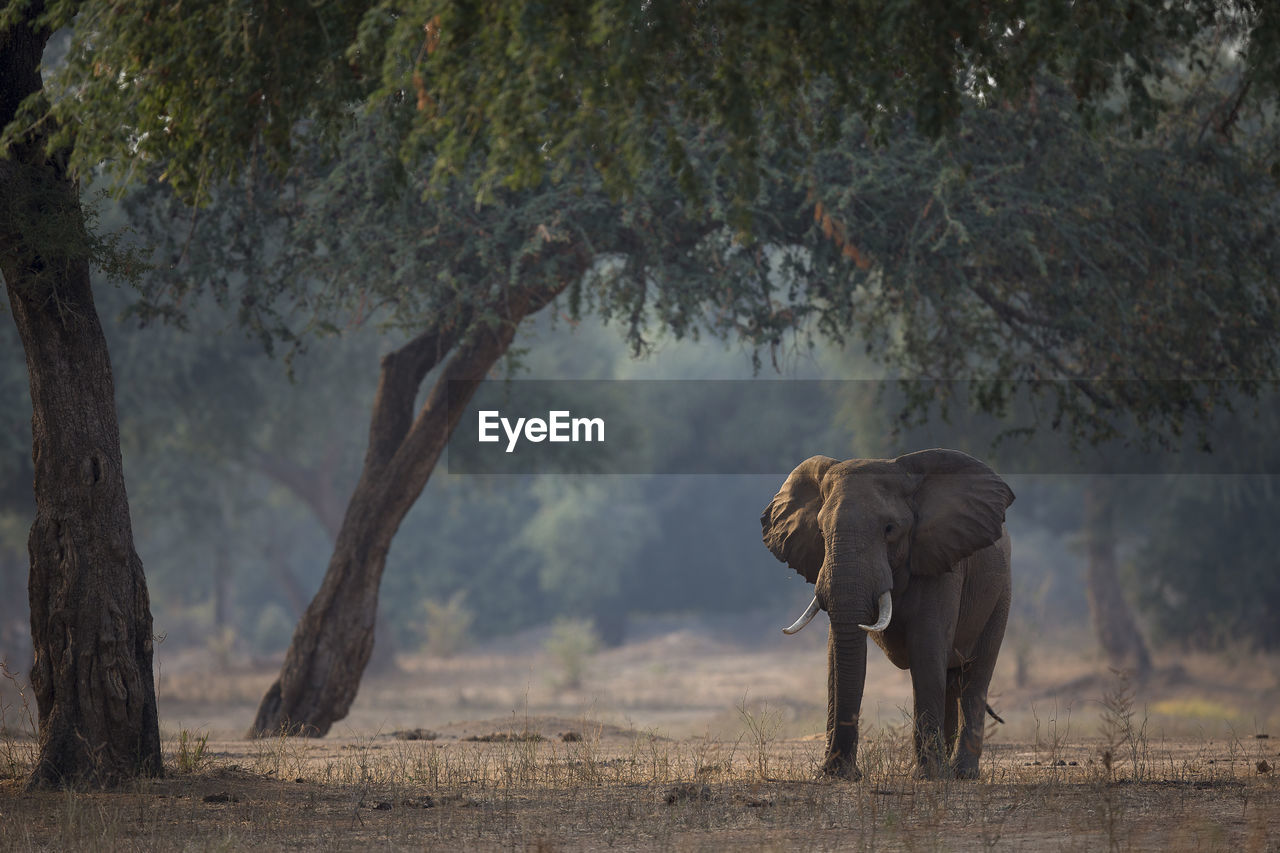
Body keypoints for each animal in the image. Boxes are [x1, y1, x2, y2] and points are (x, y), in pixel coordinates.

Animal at [752, 445, 1013, 778]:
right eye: (821, 531)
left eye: (890, 529)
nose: (841, 771)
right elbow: (835, 655)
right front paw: (835, 774)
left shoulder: (941, 563)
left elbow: (927, 648)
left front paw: (927, 777)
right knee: (952, 678)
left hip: (1001, 593)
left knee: (975, 675)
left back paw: (961, 773)